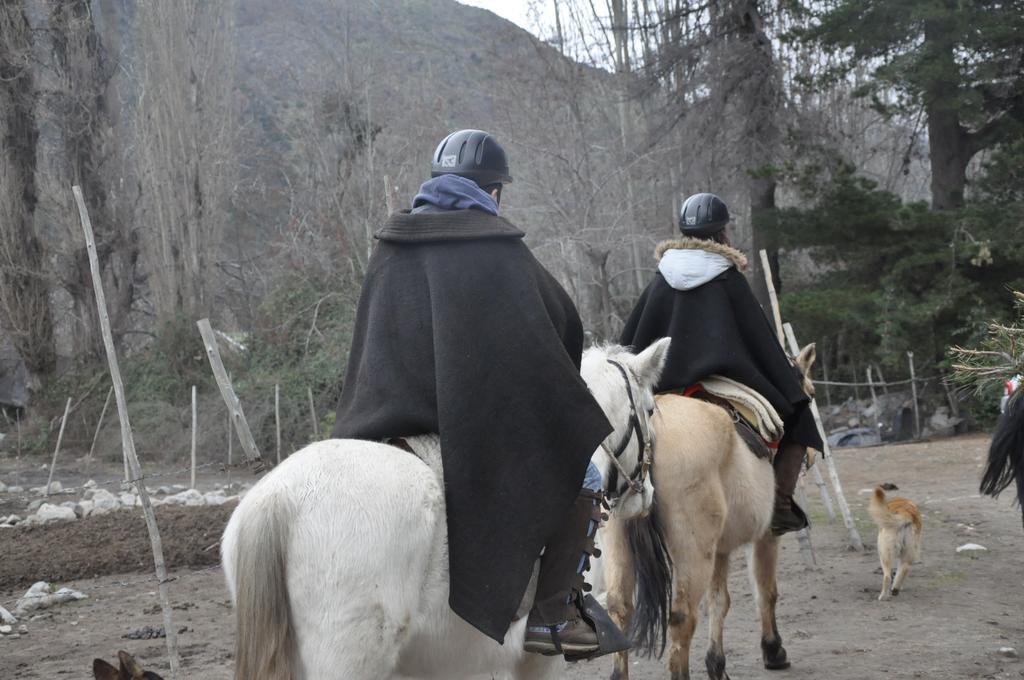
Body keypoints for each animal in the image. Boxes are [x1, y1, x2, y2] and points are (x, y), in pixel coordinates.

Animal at [598, 346, 815, 680]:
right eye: (811, 392)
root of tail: (651, 438)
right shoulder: (766, 537)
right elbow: (765, 591)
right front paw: (773, 649)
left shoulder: (720, 548)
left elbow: (719, 601)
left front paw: (716, 663)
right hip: (693, 551)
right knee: (681, 618)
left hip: (618, 538)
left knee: (619, 608)